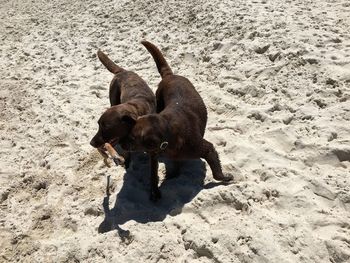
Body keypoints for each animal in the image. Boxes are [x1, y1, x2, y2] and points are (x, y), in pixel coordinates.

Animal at [121, 41, 234, 202]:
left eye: (132, 138)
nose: (120, 144)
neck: (167, 133)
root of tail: (170, 75)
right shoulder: (154, 155)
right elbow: (153, 176)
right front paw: (156, 191)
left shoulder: (207, 148)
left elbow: (217, 173)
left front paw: (226, 178)